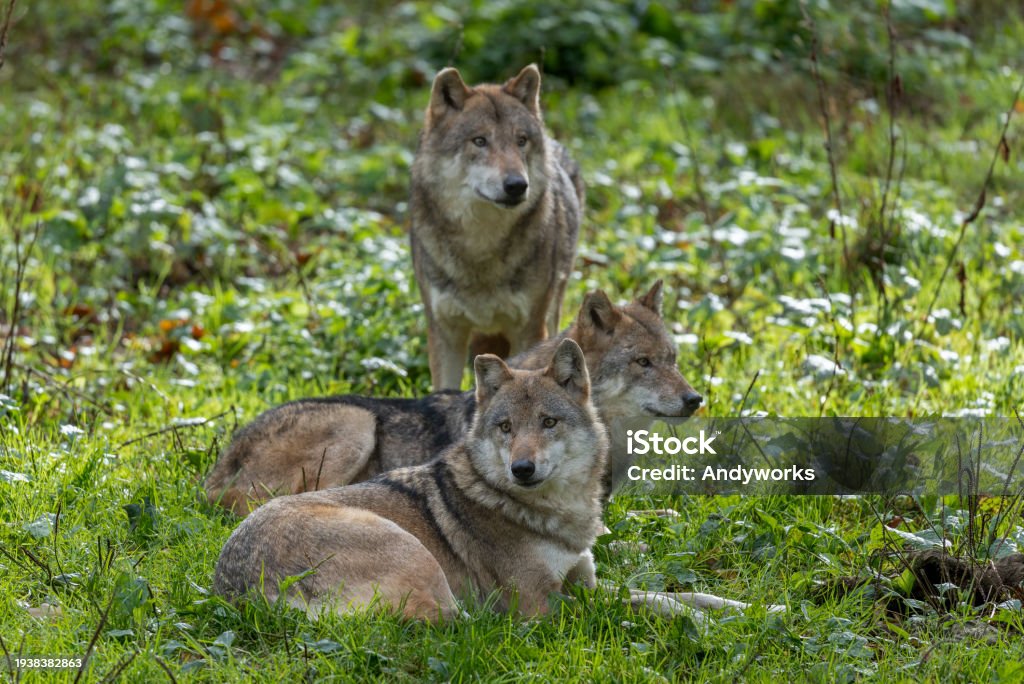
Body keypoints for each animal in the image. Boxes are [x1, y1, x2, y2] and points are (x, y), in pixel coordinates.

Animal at [213, 340, 607, 620]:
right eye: (506, 427)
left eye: (548, 422)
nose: (521, 468)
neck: (557, 510)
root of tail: (239, 591)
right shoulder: (537, 602)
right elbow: (600, 614)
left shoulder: (586, 580)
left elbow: (618, 595)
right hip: (406, 537)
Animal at [410, 63, 583, 390]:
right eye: (480, 140)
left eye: (521, 140)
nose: (517, 185)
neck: (481, 247)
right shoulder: (444, 333)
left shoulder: (530, 329)